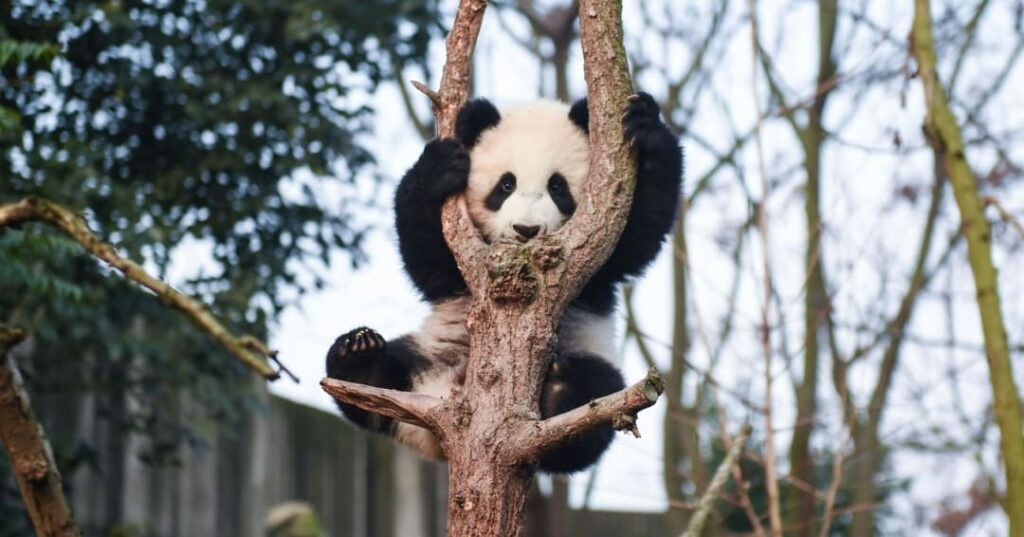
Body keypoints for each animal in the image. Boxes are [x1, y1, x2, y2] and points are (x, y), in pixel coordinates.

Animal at [326, 92, 682, 473]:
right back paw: (361, 357)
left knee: (595, 400)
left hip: (592, 358)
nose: (526, 229)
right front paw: (439, 167)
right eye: (505, 185)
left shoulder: (599, 264)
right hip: (429, 352)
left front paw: (645, 126)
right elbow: (426, 259)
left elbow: (638, 236)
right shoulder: (459, 267)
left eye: (557, 187)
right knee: (376, 378)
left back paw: (560, 391)